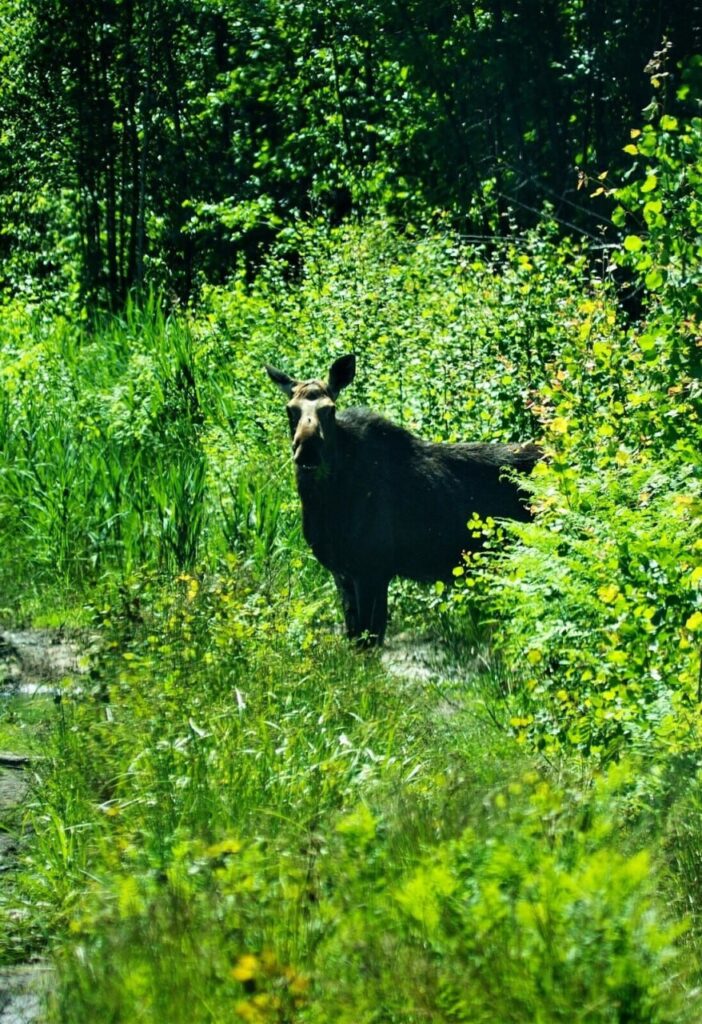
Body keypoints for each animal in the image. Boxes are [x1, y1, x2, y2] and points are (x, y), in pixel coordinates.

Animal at [266, 356, 540, 643]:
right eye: (290, 410)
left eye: (330, 410)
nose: (307, 450)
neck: (326, 504)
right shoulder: (342, 572)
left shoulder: (372, 570)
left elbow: (370, 640)